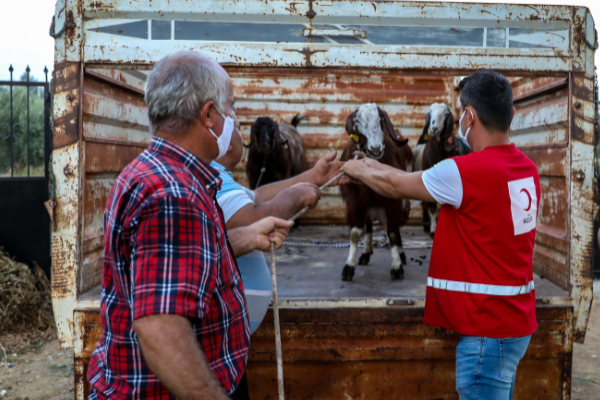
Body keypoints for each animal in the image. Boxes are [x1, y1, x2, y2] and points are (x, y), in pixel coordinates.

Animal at [340, 103, 414, 282]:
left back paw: (401, 255)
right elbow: (355, 233)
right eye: (357, 122)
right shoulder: (356, 202)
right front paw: (349, 267)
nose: (375, 149)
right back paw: (366, 253)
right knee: (368, 225)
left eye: (381, 119)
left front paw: (396, 267)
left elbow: (392, 232)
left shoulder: (393, 201)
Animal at [412, 102, 468, 238]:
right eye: (430, 112)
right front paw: (433, 230)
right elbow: (432, 207)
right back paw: (426, 225)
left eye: (446, 113)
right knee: (424, 203)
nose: (434, 128)